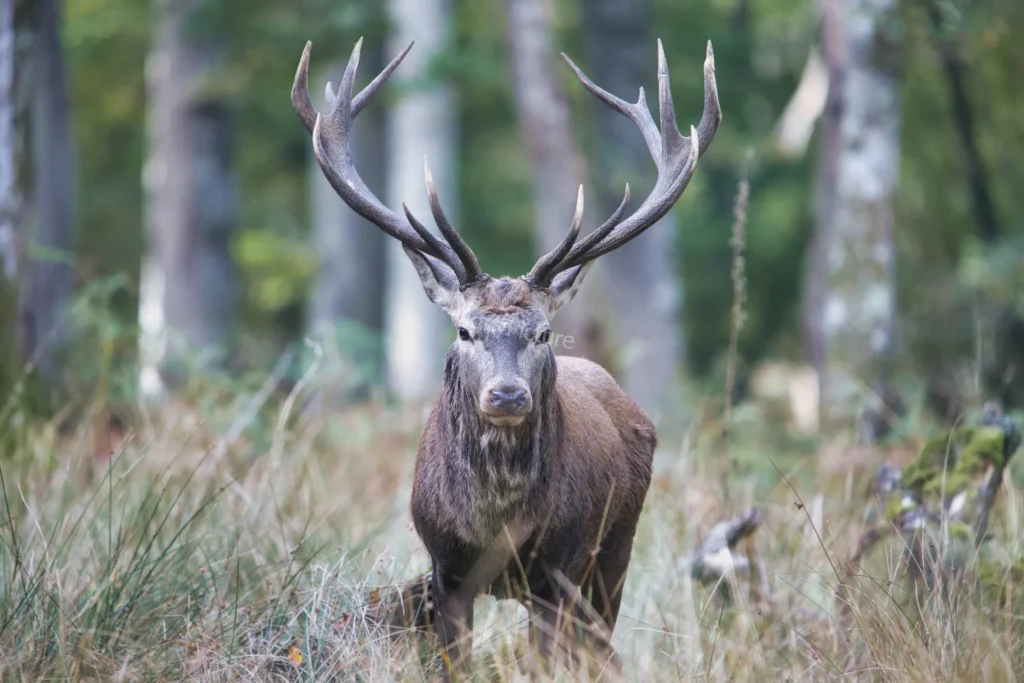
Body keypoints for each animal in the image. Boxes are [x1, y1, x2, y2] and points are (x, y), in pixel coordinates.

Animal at [291, 33, 720, 677]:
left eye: (542, 333)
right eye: (465, 331)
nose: (508, 394)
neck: (495, 525)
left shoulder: (558, 571)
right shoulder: (445, 569)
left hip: (616, 549)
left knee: (602, 647)